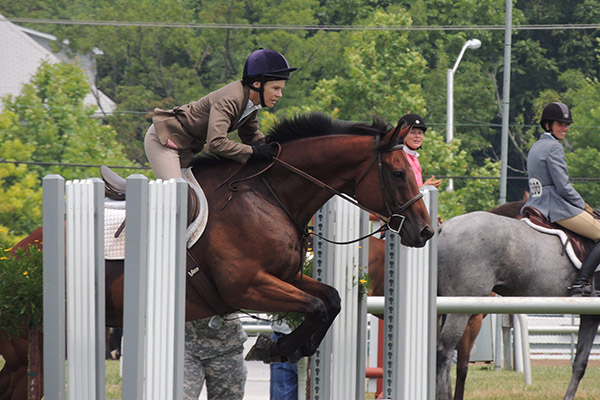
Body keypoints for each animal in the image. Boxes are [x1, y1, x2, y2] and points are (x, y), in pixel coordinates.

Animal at [0, 112, 434, 400]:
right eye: (399, 173)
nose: (425, 232)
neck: (267, 195)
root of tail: (17, 260)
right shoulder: (246, 287)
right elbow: (316, 305)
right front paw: (276, 347)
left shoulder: (286, 276)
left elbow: (331, 299)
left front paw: (292, 346)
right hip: (31, 350)